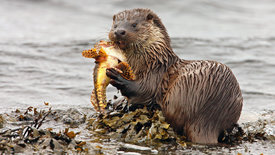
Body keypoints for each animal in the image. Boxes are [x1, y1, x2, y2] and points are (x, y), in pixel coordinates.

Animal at [105, 8, 244, 144]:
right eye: (115, 25)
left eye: (134, 24)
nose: (119, 32)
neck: (152, 59)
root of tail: (207, 120)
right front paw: (119, 100)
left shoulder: (155, 74)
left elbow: (143, 91)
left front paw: (116, 77)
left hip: (180, 90)